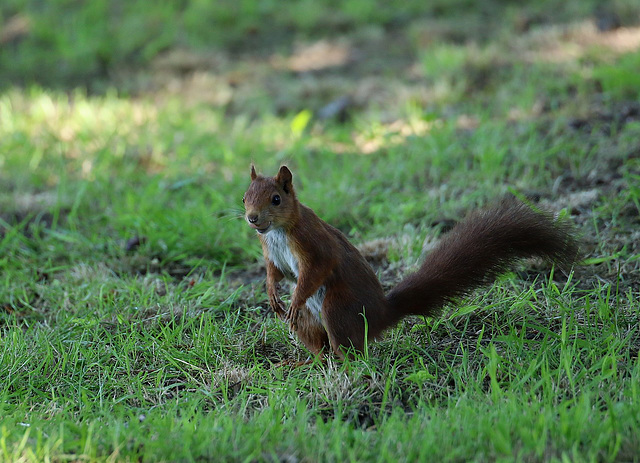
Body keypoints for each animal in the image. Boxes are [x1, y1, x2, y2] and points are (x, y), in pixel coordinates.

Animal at [241, 165, 580, 360]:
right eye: (244, 197)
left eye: (276, 199)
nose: (252, 219)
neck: (278, 232)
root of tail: (381, 314)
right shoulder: (272, 253)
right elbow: (275, 273)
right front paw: (272, 294)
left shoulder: (313, 244)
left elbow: (317, 269)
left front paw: (294, 298)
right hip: (312, 323)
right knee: (320, 346)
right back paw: (306, 360)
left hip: (337, 308)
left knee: (350, 350)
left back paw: (345, 367)